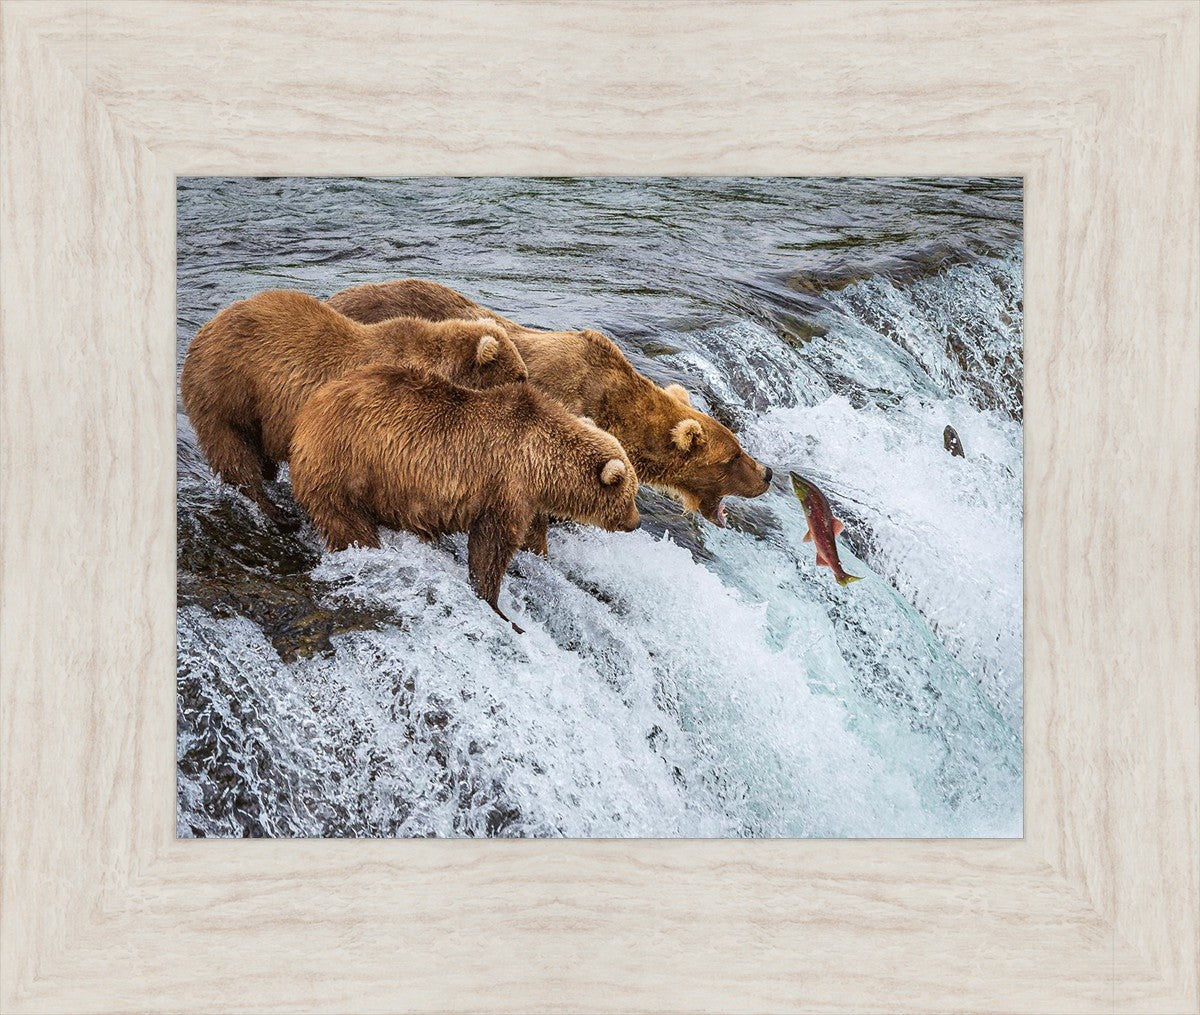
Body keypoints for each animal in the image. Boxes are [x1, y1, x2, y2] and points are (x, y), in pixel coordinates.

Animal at [179, 289, 527, 527]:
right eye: (520, 376)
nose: (529, 389)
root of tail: (204, 331)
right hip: (228, 390)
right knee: (234, 452)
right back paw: (276, 512)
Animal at [288, 365, 640, 632]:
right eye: (631, 494)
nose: (636, 522)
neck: (541, 463)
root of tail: (308, 412)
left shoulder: (527, 499)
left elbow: (531, 536)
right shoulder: (505, 485)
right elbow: (491, 547)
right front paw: (497, 606)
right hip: (347, 468)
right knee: (348, 524)